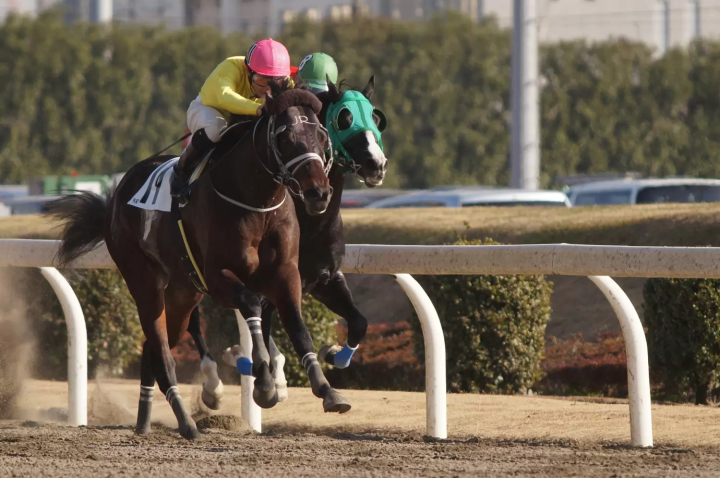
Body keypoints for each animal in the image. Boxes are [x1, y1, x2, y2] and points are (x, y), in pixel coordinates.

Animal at [44, 82, 351, 440]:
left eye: (321, 134)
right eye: (285, 136)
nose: (319, 193)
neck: (255, 199)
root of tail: (116, 197)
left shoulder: (286, 273)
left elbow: (298, 327)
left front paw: (327, 390)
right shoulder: (217, 278)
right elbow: (252, 306)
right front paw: (263, 384)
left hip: (183, 293)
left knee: (152, 347)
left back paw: (145, 420)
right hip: (144, 281)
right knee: (162, 353)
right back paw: (187, 423)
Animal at [188, 76, 388, 408]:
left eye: (374, 116)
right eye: (344, 118)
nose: (376, 164)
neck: (311, 222)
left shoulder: (323, 278)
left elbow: (359, 322)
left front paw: (333, 354)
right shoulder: (267, 287)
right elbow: (262, 333)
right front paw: (249, 366)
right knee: (190, 319)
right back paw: (213, 383)